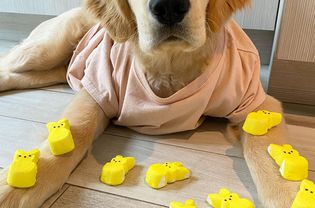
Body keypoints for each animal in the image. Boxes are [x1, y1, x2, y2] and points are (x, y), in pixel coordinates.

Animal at [0, 0, 302, 207]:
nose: (169, 7)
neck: (171, 61)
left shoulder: (257, 104)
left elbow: (269, 164)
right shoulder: (97, 88)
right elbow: (76, 132)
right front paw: (17, 187)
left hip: (52, 69)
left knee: (13, 74)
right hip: (45, 50)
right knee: (9, 62)